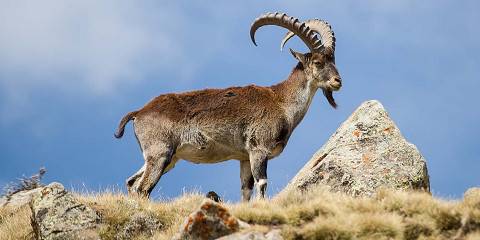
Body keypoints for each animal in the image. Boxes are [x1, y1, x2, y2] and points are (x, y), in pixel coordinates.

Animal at [115, 13, 342, 201]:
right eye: (318, 62)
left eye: (333, 60)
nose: (338, 81)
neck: (282, 102)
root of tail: (140, 112)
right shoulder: (258, 150)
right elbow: (262, 184)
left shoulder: (244, 157)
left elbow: (246, 190)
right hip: (160, 153)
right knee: (142, 188)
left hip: (166, 158)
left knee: (131, 182)